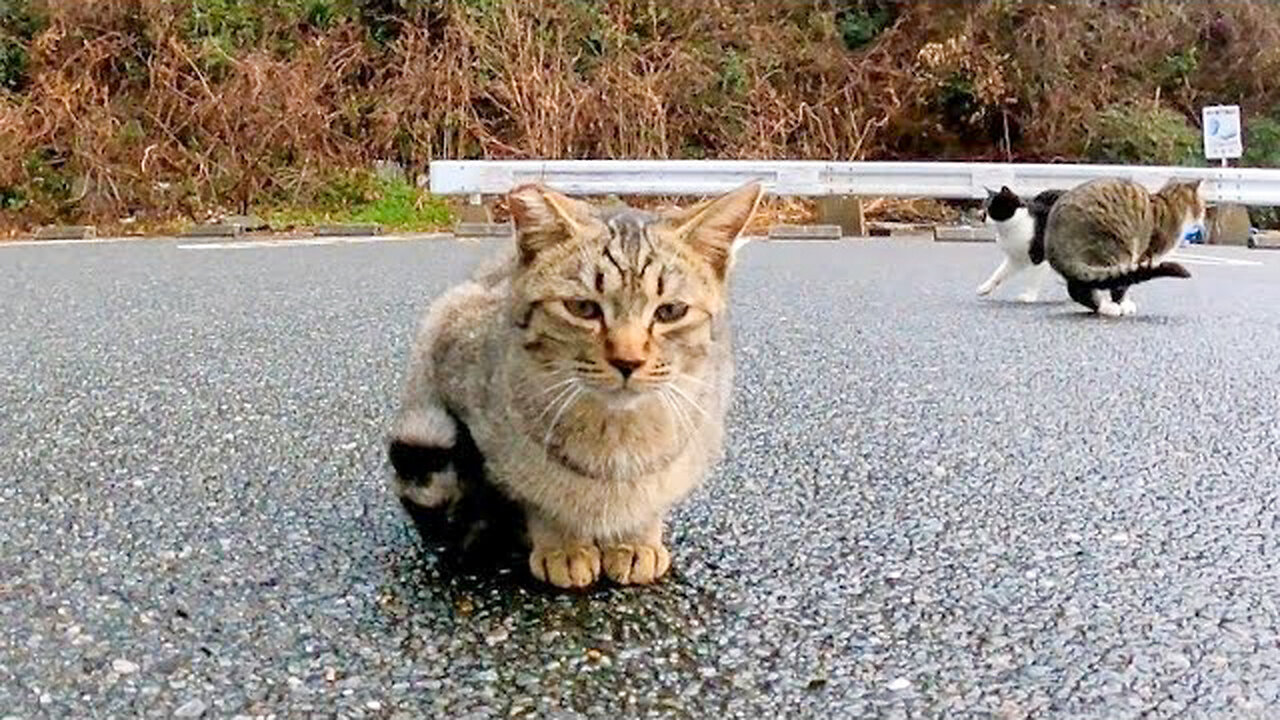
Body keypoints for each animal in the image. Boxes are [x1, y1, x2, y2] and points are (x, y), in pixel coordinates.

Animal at [381, 181, 757, 586]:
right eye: (583, 308)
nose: (628, 361)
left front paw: (635, 539)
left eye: (670, 311)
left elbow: (649, 499)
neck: (616, 435)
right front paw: (563, 545)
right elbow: (539, 494)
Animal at [1044, 175, 1203, 313]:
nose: (1204, 212)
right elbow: (1123, 284)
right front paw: (1123, 305)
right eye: (1203, 205)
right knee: (1083, 287)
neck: (1169, 204)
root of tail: (1053, 242)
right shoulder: (1143, 257)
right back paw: (1107, 308)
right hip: (1117, 248)